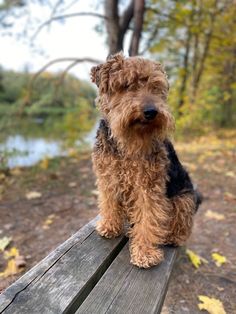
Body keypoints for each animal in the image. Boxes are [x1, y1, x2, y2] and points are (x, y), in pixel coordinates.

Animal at [90, 52, 201, 268]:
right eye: (126, 85)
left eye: (156, 87)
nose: (151, 111)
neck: (126, 144)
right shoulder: (108, 178)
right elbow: (109, 203)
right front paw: (110, 225)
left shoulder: (148, 187)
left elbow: (149, 219)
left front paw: (145, 253)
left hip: (184, 198)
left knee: (182, 225)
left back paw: (173, 237)